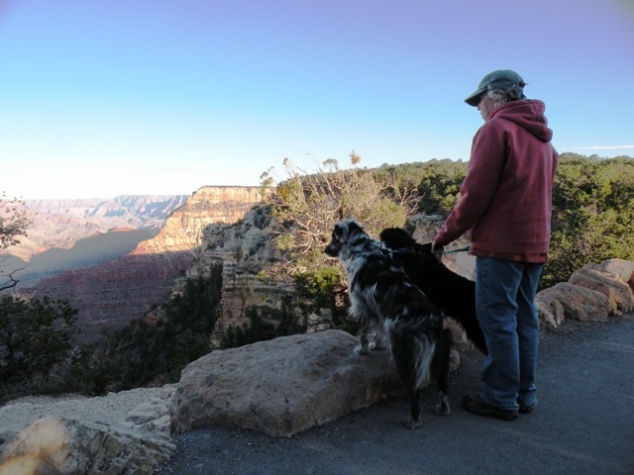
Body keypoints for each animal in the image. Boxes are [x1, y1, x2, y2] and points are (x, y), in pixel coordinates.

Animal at [324, 219, 452, 428]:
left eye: (333, 237)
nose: (325, 250)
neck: (363, 250)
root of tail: (432, 320)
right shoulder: (378, 312)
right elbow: (377, 332)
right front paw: (376, 345)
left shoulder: (361, 306)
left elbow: (363, 333)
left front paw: (363, 350)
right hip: (441, 358)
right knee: (443, 387)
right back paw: (441, 409)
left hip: (405, 352)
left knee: (414, 389)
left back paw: (413, 420)